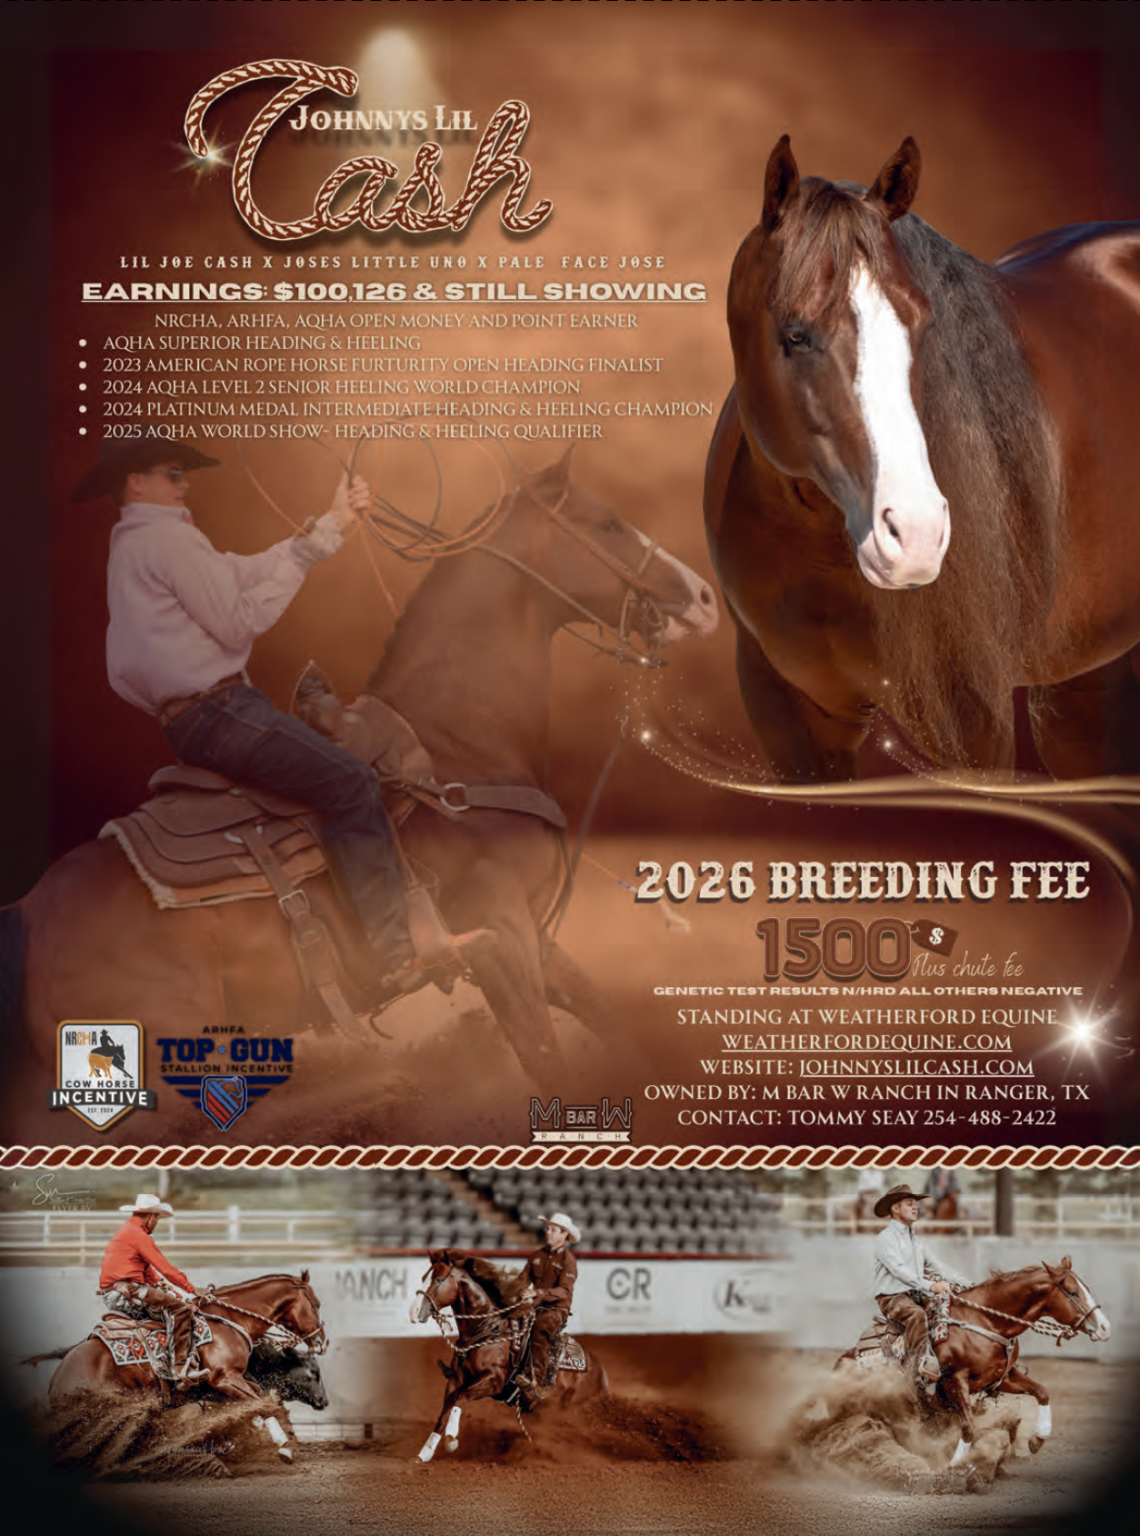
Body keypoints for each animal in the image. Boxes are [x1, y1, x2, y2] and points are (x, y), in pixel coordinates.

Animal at [5, 454, 717, 1103]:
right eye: (608, 523)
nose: (707, 598)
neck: (454, 751)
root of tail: (32, 913)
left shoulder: (534, 936)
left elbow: (610, 1025)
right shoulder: (499, 941)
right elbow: (548, 1066)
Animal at [410, 1248, 607, 1462]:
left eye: (438, 1280)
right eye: (423, 1278)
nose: (414, 1312)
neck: (488, 1328)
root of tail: (599, 1371)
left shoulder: (493, 1381)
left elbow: (460, 1398)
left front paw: (451, 1440)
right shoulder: (456, 1378)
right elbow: (447, 1407)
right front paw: (425, 1453)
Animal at [840, 1257, 1110, 1467]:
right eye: (1073, 1293)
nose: (1105, 1327)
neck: (985, 1321)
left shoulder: (1003, 1377)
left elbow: (1042, 1392)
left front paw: (1038, 1438)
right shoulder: (954, 1380)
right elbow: (969, 1427)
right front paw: (956, 1466)